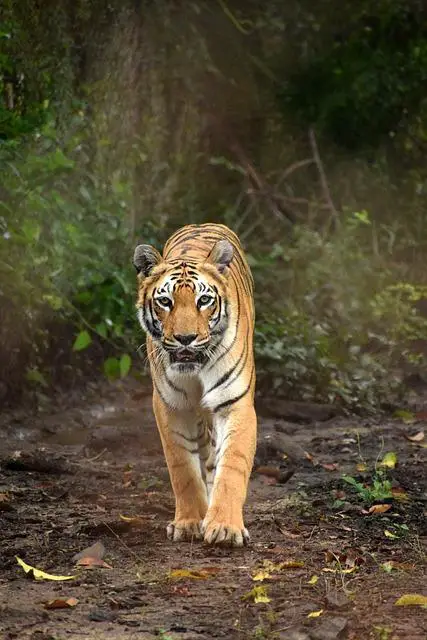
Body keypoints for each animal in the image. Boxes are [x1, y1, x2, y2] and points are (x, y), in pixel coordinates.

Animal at [133, 224, 258, 544]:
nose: (186, 338)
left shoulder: (234, 403)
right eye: (165, 301)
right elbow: (183, 469)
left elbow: (232, 465)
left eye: (204, 300)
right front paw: (189, 522)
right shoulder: (171, 406)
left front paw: (225, 527)